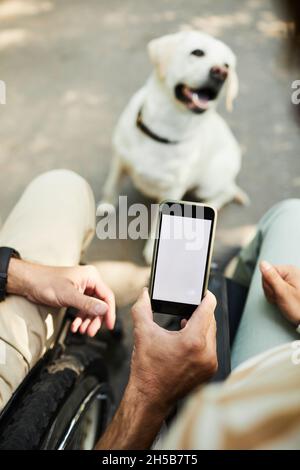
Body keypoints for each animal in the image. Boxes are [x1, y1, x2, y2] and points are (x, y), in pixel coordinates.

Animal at [98, 31, 248, 262]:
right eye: (197, 52)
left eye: (227, 65)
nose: (222, 72)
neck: (165, 129)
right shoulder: (119, 159)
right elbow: (111, 185)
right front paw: (106, 204)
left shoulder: (173, 189)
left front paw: (152, 248)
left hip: (208, 184)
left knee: (226, 193)